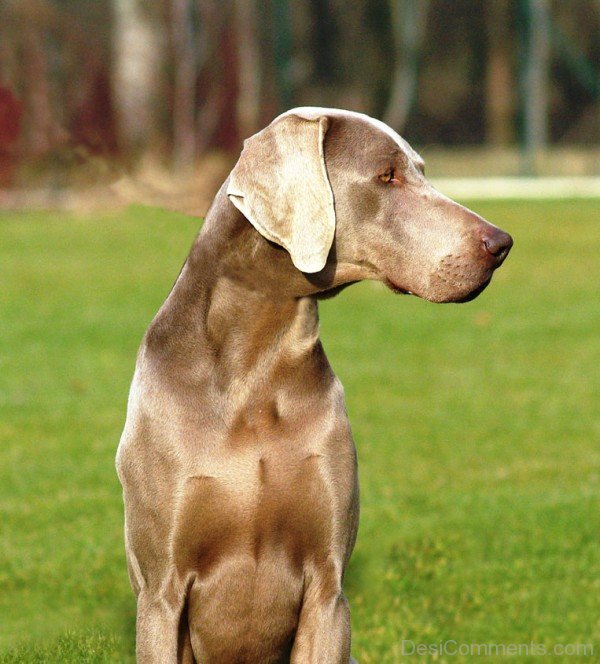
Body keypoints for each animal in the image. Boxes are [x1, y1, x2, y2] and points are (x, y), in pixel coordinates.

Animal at [116, 106, 510, 660]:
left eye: (421, 171)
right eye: (387, 176)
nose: (502, 244)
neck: (254, 372)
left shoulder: (328, 587)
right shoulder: (160, 592)